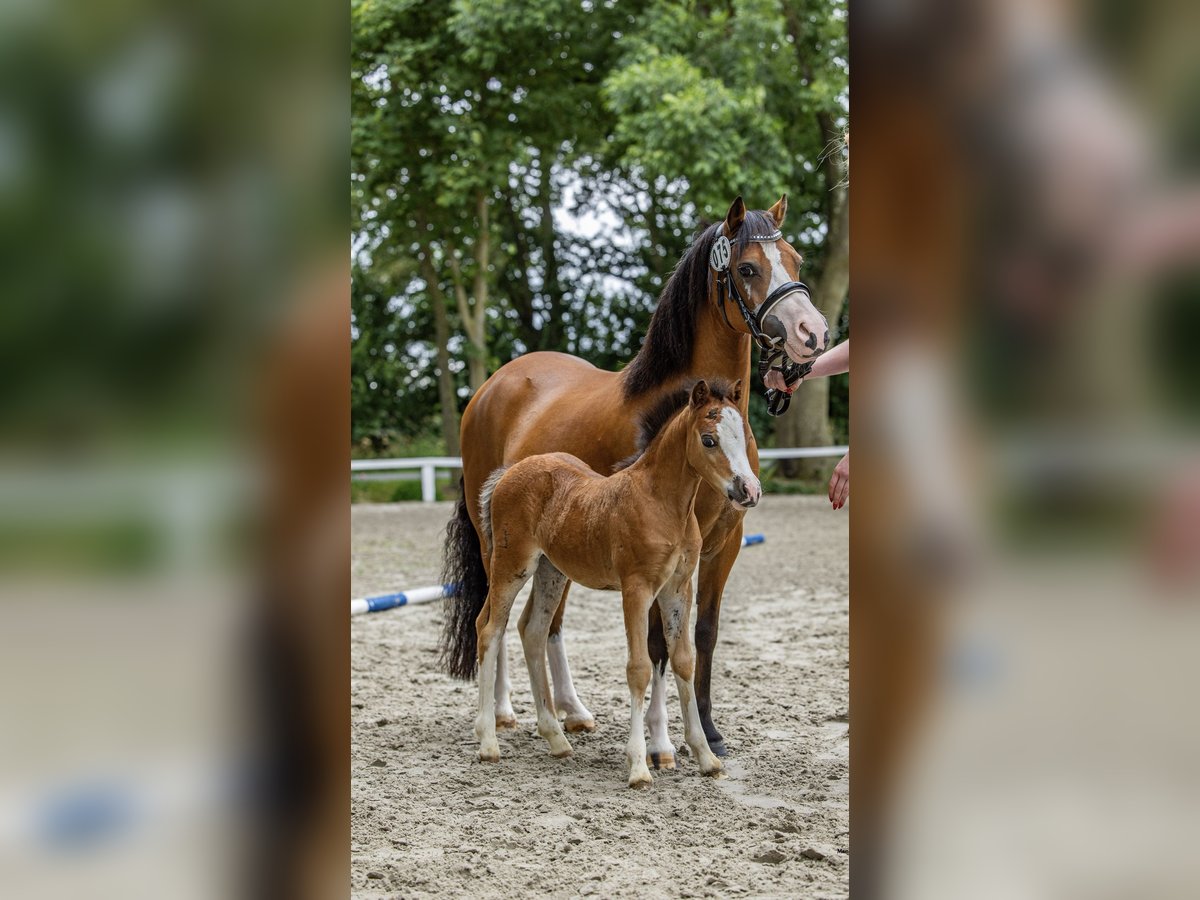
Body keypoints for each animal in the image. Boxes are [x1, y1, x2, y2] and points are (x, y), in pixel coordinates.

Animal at [473, 379, 760, 786]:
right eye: (708, 440)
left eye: (744, 436)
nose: (748, 490)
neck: (661, 503)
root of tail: (508, 473)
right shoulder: (636, 588)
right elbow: (639, 668)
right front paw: (640, 765)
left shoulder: (677, 589)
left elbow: (683, 661)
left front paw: (706, 757)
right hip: (511, 564)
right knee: (489, 629)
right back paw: (488, 742)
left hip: (550, 571)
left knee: (533, 629)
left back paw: (556, 738)